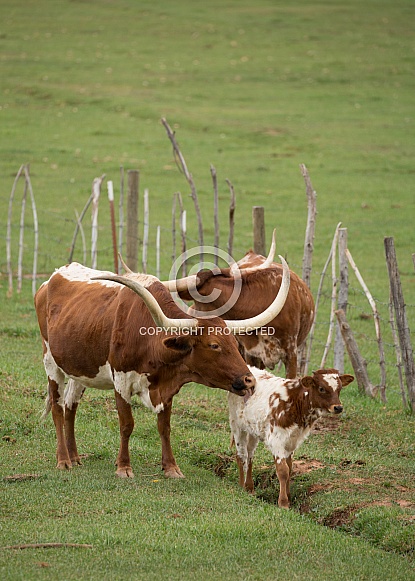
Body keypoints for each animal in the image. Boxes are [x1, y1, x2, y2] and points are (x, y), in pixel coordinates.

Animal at [35, 258, 290, 476]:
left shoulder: (166, 388)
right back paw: (63, 460)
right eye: (214, 345)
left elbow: (164, 427)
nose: (249, 380)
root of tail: (50, 280)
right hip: (51, 362)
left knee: (70, 406)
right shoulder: (121, 381)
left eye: (235, 344)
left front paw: (171, 468)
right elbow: (127, 424)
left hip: (80, 369)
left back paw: (75, 456)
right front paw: (124, 467)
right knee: (57, 407)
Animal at [228, 368, 354, 508]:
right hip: (237, 425)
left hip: (252, 429)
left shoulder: (292, 440)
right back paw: (241, 486)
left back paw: (249, 487)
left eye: (340, 388)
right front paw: (283, 502)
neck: (295, 402)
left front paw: (288, 496)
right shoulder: (276, 440)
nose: (338, 407)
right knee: (241, 455)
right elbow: (283, 470)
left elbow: (289, 468)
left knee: (250, 455)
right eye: (321, 388)